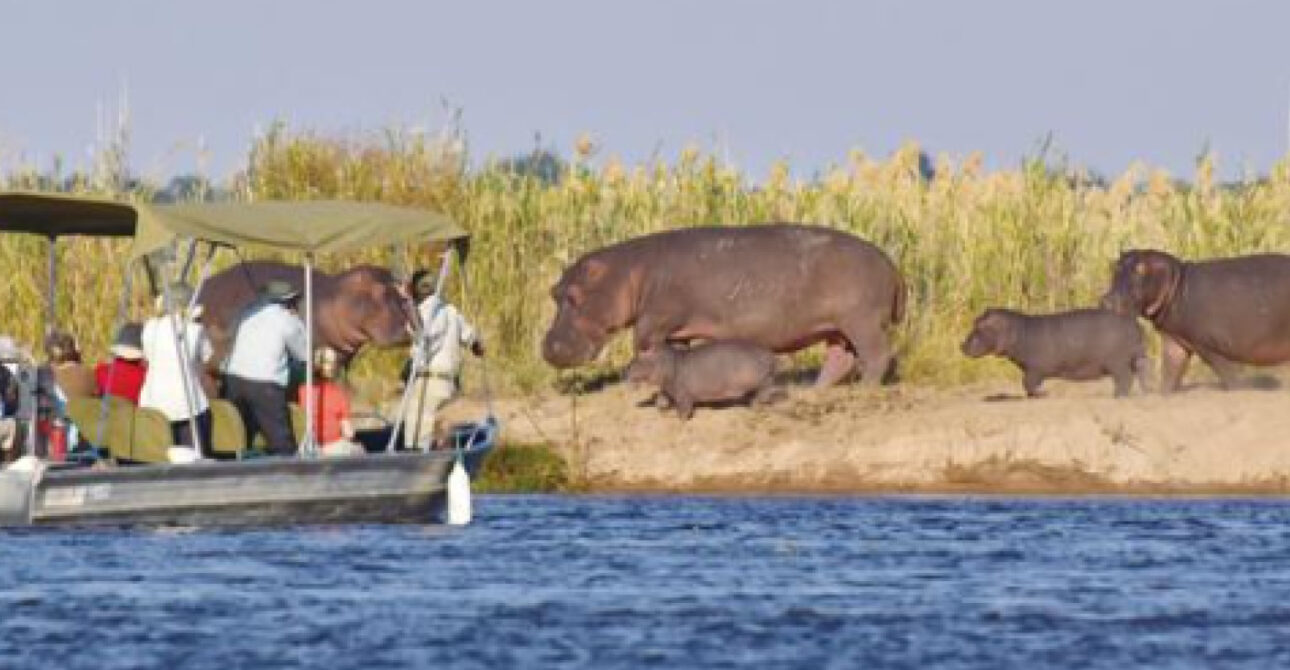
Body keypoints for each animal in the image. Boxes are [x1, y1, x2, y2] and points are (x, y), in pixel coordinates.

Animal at [543, 224, 905, 386]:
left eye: (573, 295)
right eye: (554, 292)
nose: (548, 347)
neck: (630, 271)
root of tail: (890, 261)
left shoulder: (656, 317)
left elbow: (641, 340)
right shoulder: (673, 329)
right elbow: (674, 347)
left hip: (862, 320)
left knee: (876, 354)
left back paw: (865, 389)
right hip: (836, 328)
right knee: (840, 358)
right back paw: (817, 389)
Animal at [625, 340, 780, 420]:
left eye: (635, 361)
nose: (625, 371)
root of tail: (770, 355)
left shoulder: (682, 393)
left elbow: (683, 409)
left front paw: (680, 420)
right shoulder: (667, 388)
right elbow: (661, 398)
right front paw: (661, 410)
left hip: (760, 379)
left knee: (767, 389)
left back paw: (758, 404)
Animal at [961, 308, 1149, 398]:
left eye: (980, 326)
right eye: (975, 321)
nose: (962, 345)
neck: (1019, 330)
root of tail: (1135, 325)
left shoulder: (1034, 369)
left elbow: (1027, 383)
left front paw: (1043, 394)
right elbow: (1027, 385)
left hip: (1116, 362)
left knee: (1125, 378)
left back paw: (1117, 396)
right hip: (1135, 357)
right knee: (1141, 372)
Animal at [1101, 249, 1290, 392]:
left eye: (1141, 269)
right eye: (1115, 267)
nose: (1107, 300)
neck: (1176, 283)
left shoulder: (1210, 345)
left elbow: (1229, 375)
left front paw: (1241, 391)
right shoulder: (1174, 340)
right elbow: (1170, 372)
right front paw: (1163, 395)